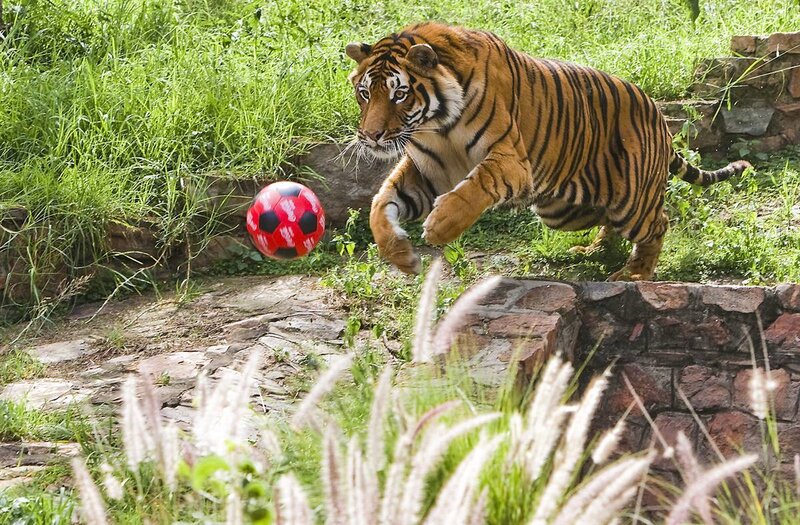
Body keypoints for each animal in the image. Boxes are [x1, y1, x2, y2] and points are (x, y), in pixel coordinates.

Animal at [345, 23, 751, 281]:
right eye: (365, 93)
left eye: (399, 93)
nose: (371, 136)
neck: (437, 126)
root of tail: (656, 111)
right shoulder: (427, 172)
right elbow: (380, 205)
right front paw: (400, 256)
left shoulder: (512, 161)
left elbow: (477, 185)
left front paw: (440, 226)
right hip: (564, 209)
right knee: (609, 222)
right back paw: (594, 251)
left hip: (631, 200)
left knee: (658, 224)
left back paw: (636, 272)